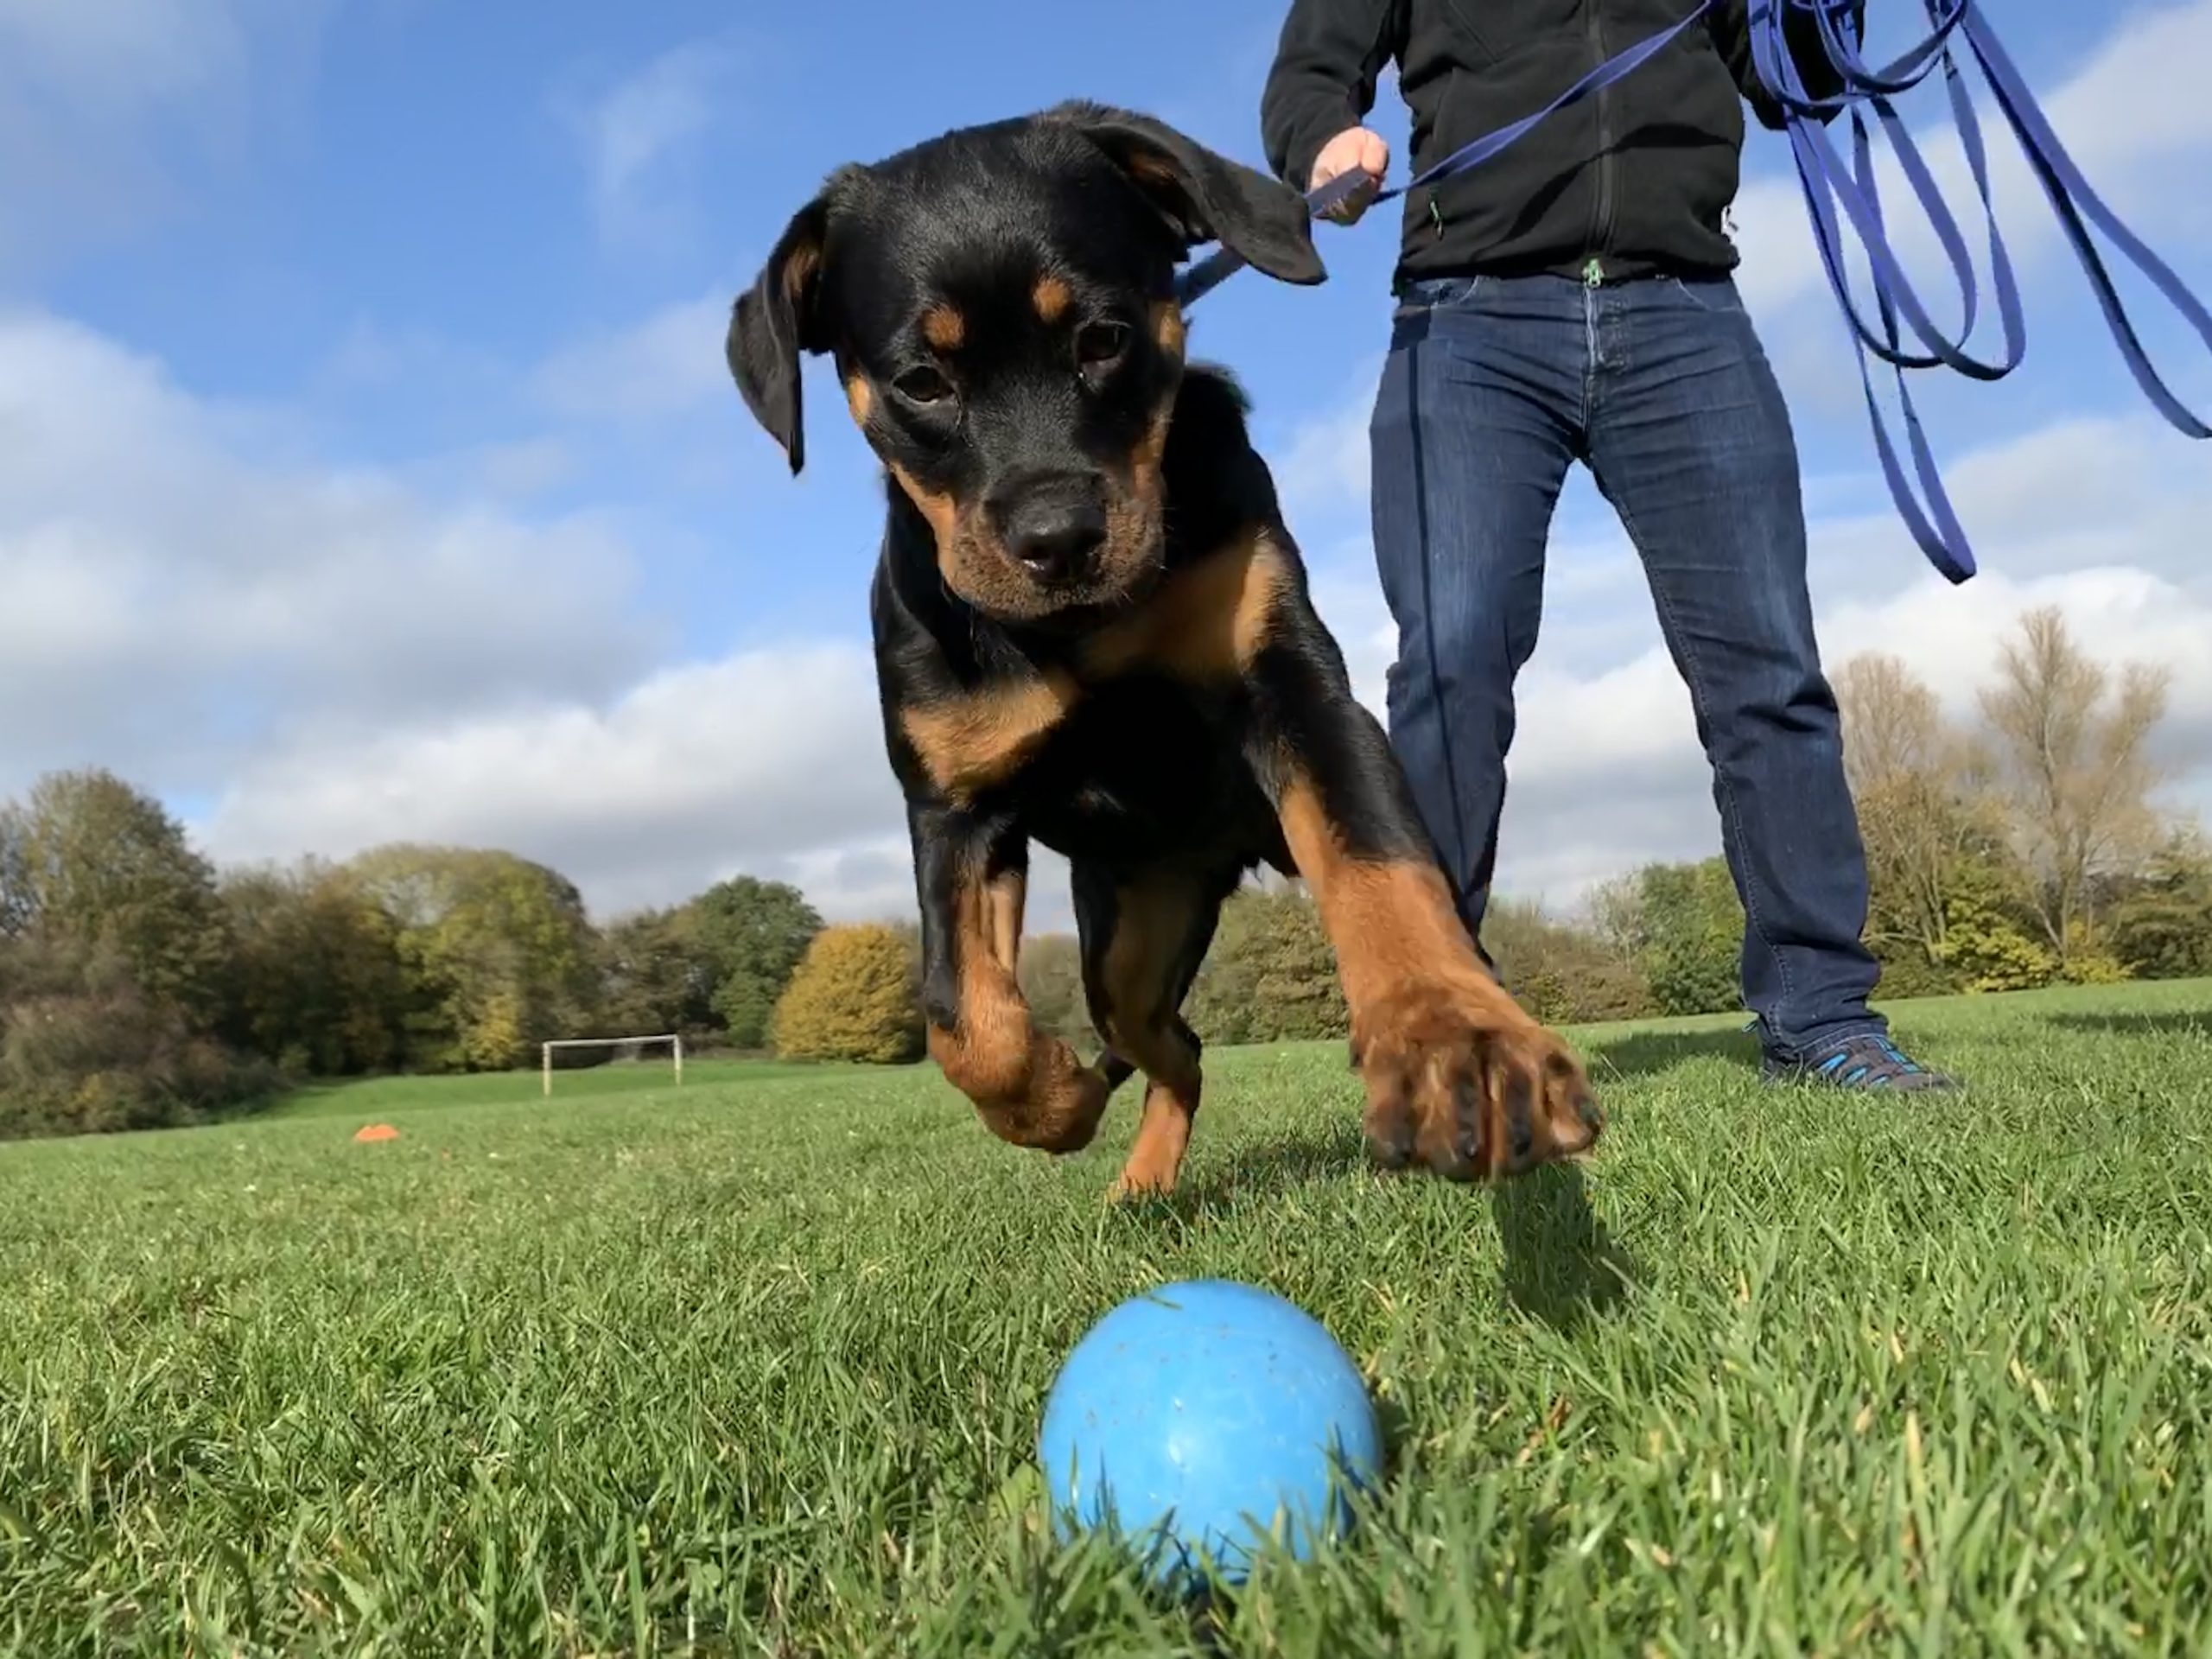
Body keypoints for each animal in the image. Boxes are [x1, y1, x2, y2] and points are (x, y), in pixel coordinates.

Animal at [734, 100, 1601, 1194]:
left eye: (1104, 337)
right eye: (920, 381)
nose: (1058, 539)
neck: (1081, 629)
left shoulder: (1296, 690)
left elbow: (1380, 866)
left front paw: (1455, 1040)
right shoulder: (952, 802)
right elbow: (959, 1016)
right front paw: (1053, 1101)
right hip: (1128, 933)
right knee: (1165, 1045)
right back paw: (1135, 1182)